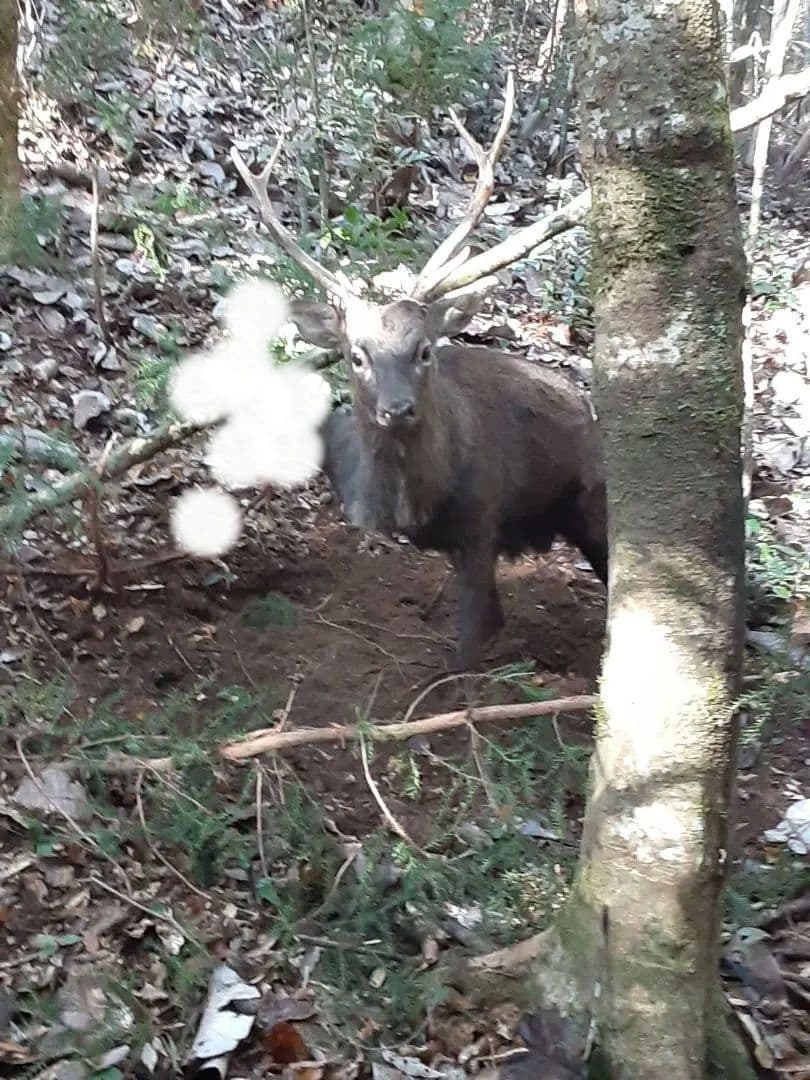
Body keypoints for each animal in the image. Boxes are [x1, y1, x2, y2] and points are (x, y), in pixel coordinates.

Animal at [230, 73, 607, 672]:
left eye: (424, 349)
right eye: (356, 354)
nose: (397, 408)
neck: (417, 504)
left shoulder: (483, 515)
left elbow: (472, 639)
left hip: (594, 496)